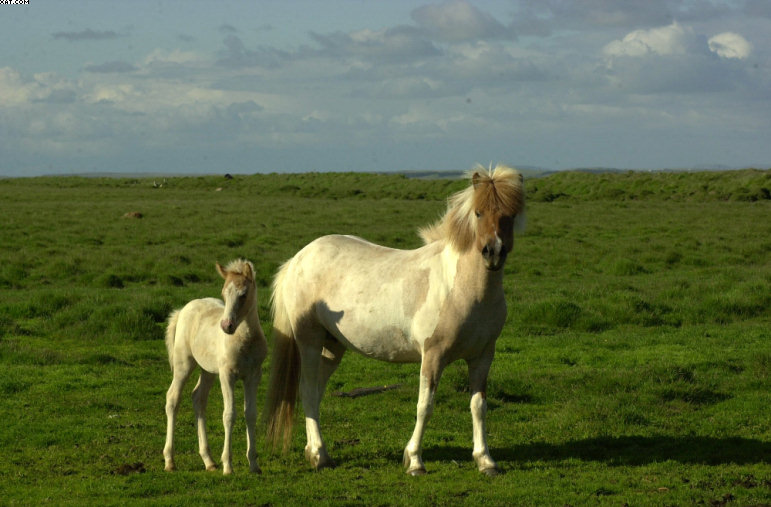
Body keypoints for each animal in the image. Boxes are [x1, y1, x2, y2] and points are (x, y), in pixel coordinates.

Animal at [264, 166, 524, 476]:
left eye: (510, 214)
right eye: (479, 213)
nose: (493, 253)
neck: (465, 290)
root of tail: (297, 259)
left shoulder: (483, 357)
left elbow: (479, 406)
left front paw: (485, 460)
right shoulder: (433, 356)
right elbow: (425, 406)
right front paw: (414, 461)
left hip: (333, 346)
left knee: (314, 392)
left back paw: (315, 453)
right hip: (310, 342)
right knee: (307, 389)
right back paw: (319, 455)